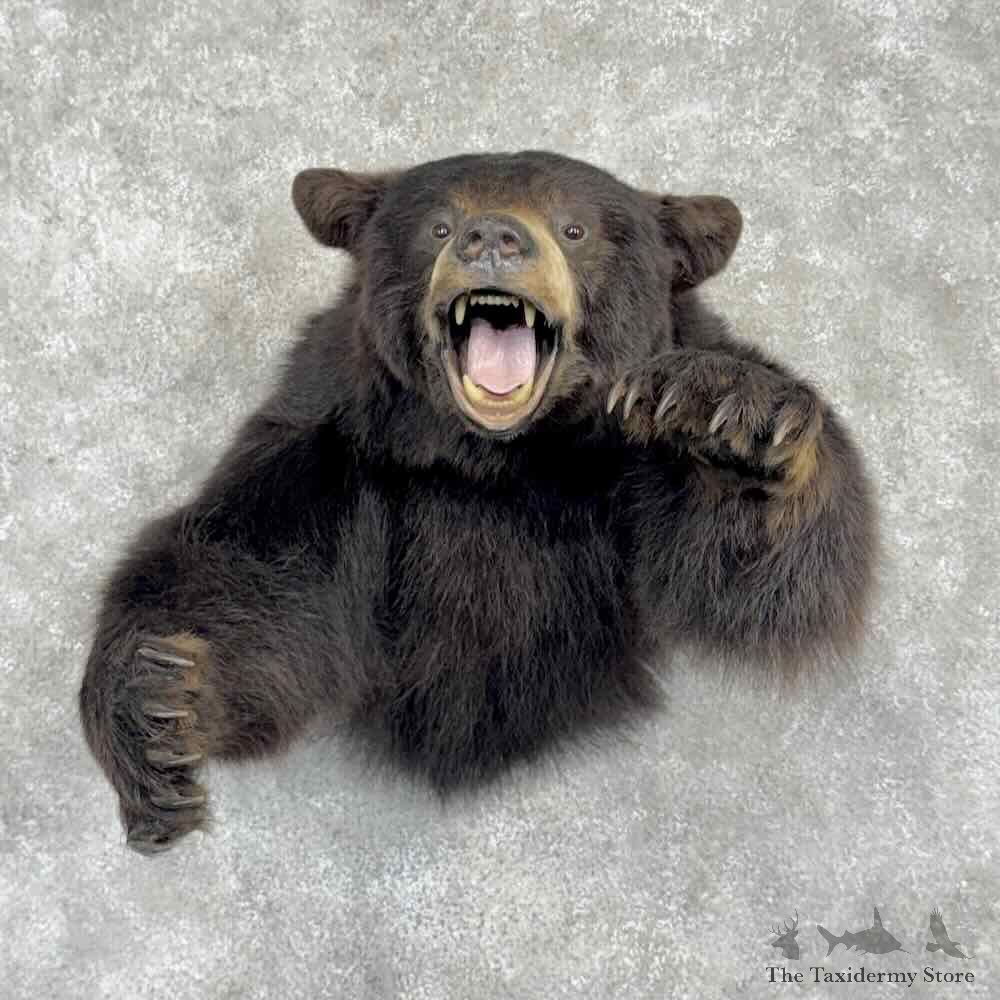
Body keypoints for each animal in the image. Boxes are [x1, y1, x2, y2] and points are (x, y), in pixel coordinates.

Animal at [79, 151, 876, 854]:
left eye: (574, 228)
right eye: (437, 225)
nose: (492, 236)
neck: (498, 459)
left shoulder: (621, 471)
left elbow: (758, 575)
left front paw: (727, 418)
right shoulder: (331, 448)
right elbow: (250, 576)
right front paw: (159, 708)